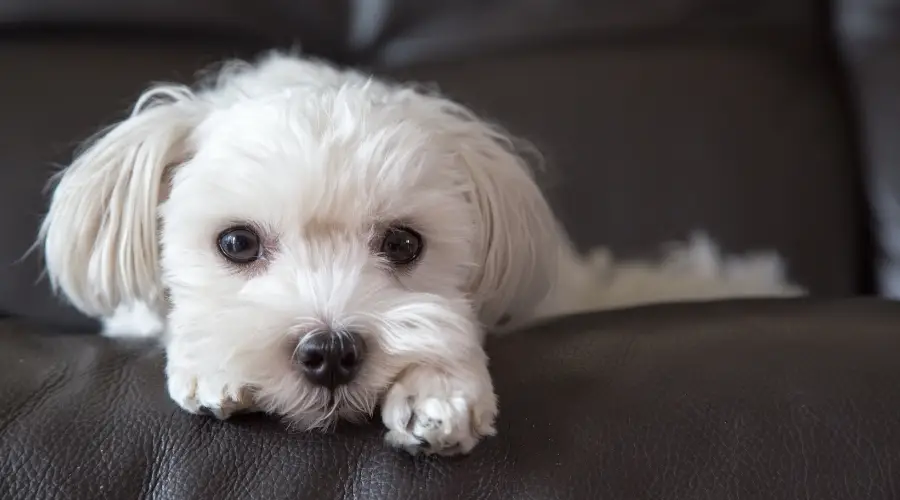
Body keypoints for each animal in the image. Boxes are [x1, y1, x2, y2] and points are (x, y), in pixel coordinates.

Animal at [38, 51, 804, 458]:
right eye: (236, 243)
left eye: (404, 243)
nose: (330, 353)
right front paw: (214, 368)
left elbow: (443, 329)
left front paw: (436, 390)